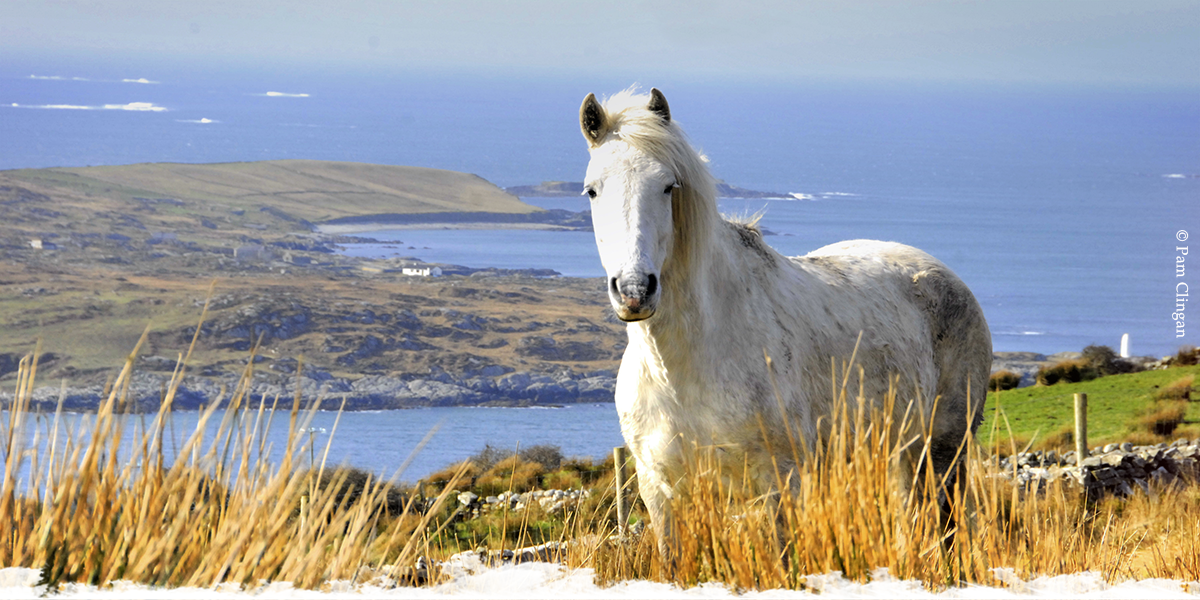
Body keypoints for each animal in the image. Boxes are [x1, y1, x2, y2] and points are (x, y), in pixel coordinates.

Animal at [576, 87, 988, 549]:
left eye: (668, 187)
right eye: (592, 191)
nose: (634, 290)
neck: (683, 368)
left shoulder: (779, 483)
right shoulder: (658, 490)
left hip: (942, 454)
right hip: (896, 458)